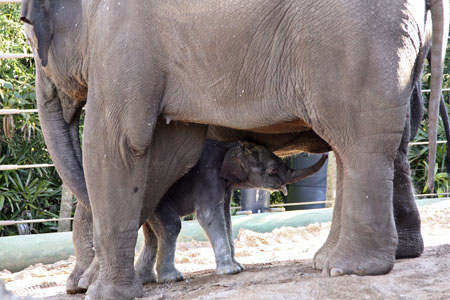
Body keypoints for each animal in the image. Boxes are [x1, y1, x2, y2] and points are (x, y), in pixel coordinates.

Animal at [134, 139, 326, 284]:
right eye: (273, 170)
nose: (325, 153)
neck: (228, 146)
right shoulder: (208, 176)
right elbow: (208, 214)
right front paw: (231, 271)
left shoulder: (225, 186)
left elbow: (226, 217)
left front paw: (239, 266)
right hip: (155, 195)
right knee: (171, 226)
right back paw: (172, 278)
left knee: (152, 235)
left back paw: (146, 280)